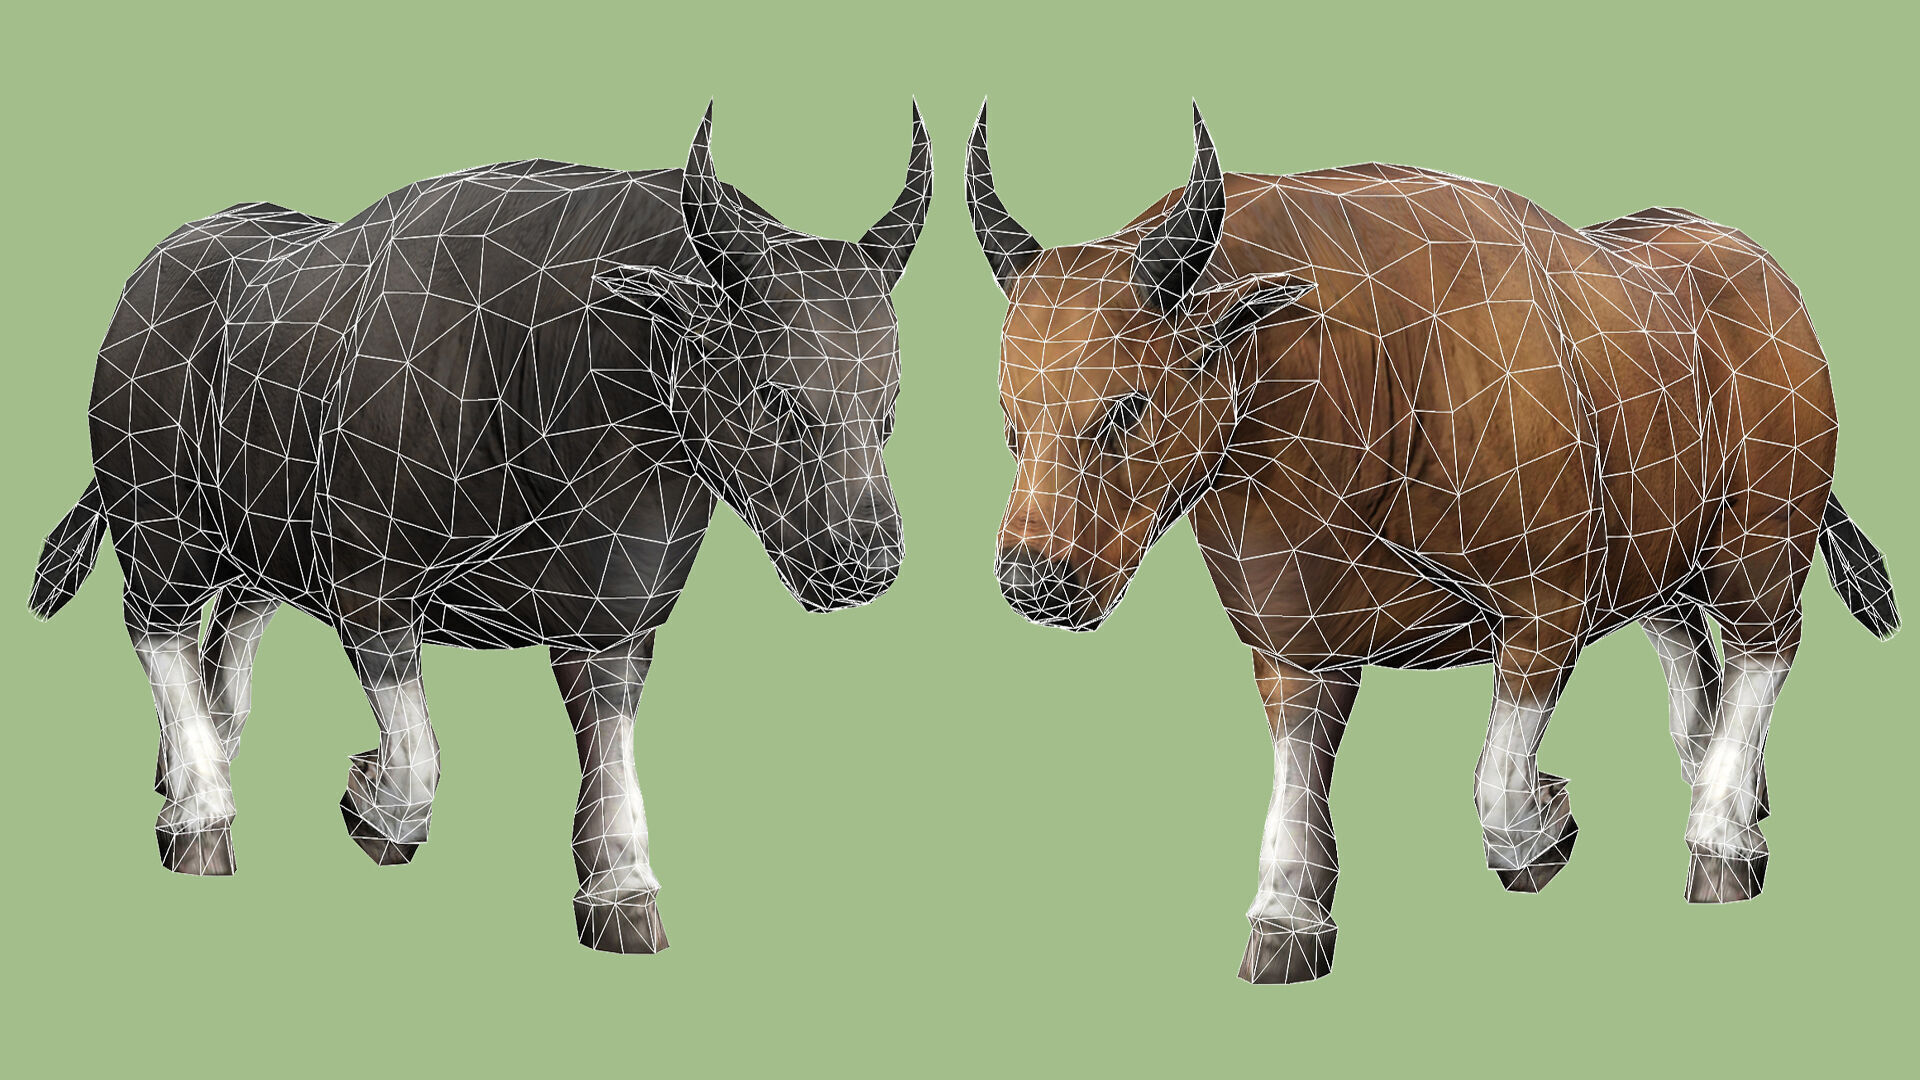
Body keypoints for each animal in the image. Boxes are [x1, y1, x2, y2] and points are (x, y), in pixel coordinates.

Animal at [28, 102, 931, 954]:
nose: (865, 562)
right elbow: (419, 760)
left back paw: (192, 769)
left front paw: (622, 893)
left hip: (256, 535)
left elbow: (611, 752)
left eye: (887, 408)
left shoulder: (611, 620)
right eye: (778, 398)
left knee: (233, 629)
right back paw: (201, 816)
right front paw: (369, 801)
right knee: (159, 631)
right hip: (161, 526)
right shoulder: (370, 585)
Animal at [966, 101, 1898, 982]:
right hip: (1664, 551)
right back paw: (1727, 793)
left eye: (1126, 408)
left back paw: (1721, 842)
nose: (1034, 581)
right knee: (1686, 646)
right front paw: (1285, 924)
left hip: (1762, 542)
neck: (1364, 373)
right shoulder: (1296, 643)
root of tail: (1768, 279)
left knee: (1764, 650)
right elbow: (1296, 776)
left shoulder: (1544, 605)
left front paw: (1547, 826)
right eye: (1011, 424)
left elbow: (1496, 785)